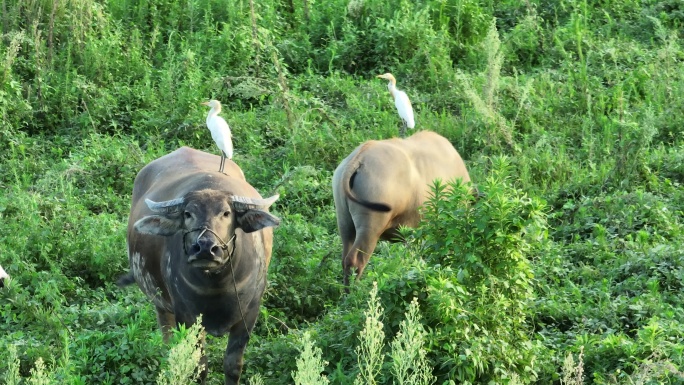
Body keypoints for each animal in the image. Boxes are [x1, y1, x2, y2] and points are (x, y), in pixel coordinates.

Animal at [119, 146, 280, 384]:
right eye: (188, 213)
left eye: (226, 213)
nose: (205, 248)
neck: (217, 286)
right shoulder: (187, 317)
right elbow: (199, 366)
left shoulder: (249, 315)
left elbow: (233, 365)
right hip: (160, 303)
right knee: (168, 339)